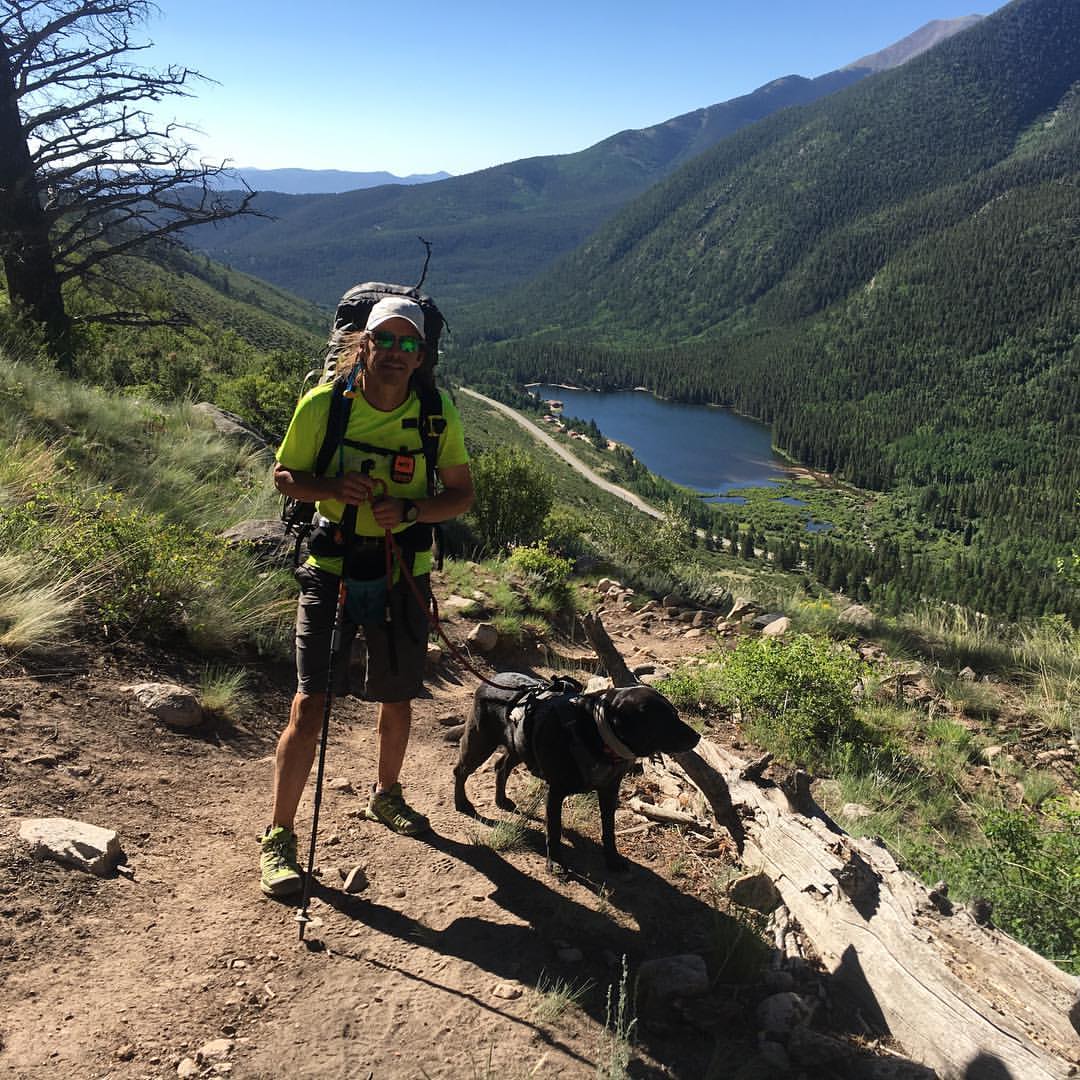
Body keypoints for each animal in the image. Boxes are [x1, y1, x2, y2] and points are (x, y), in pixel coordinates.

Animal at [449, 669, 695, 872]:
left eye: (676, 714)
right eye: (665, 721)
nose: (697, 736)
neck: (596, 732)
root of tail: (491, 680)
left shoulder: (609, 790)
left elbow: (609, 830)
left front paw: (612, 859)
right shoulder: (555, 792)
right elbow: (555, 830)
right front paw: (556, 863)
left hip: (518, 745)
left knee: (501, 766)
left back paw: (501, 800)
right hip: (479, 743)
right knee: (460, 771)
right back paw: (462, 803)